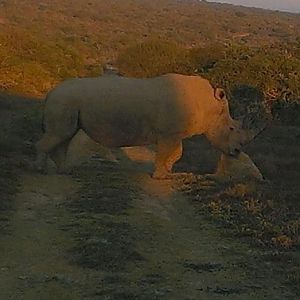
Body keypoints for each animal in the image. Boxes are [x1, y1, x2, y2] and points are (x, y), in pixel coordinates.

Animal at [35, 74, 258, 179]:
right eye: (231, 128)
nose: (237, 151)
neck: (208, 106)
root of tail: (51, 92)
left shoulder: (172, 133)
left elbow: (176, 152)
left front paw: (168, 173)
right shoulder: (168, 133)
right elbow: (171, 152)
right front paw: (161, 176)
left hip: (68, 102)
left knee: (65, 135)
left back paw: (64, 171)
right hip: (65, 100)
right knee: (60, 134)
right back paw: (40, 169)